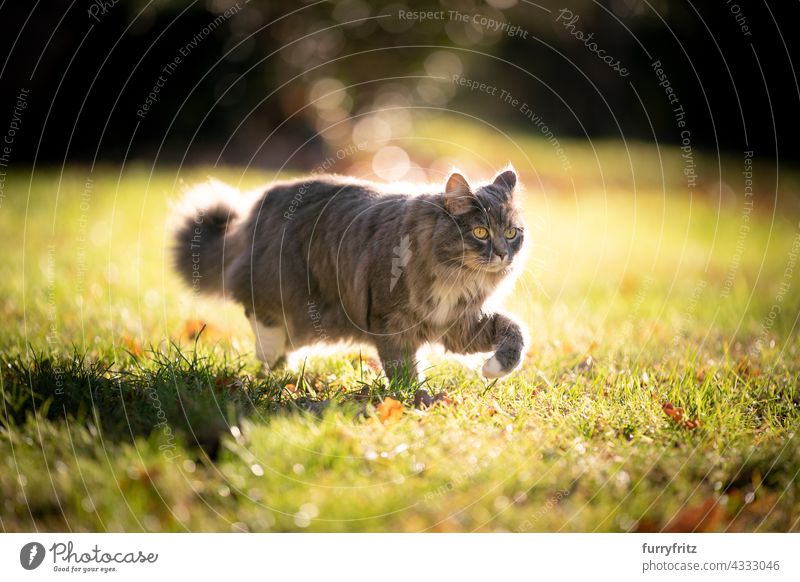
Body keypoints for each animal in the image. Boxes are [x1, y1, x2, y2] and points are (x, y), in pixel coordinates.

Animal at [172, 169, 528, 384]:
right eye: (481, 232)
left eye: (511, 232)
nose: (502, 254)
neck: (457, 278)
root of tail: (262, 202)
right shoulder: (390, 322)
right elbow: (402, 368)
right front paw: (414, 400)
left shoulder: (458, 324)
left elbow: (515, 331)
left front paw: (493, 369)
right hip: (280, 285)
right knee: (260, 315)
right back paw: (270, 360)